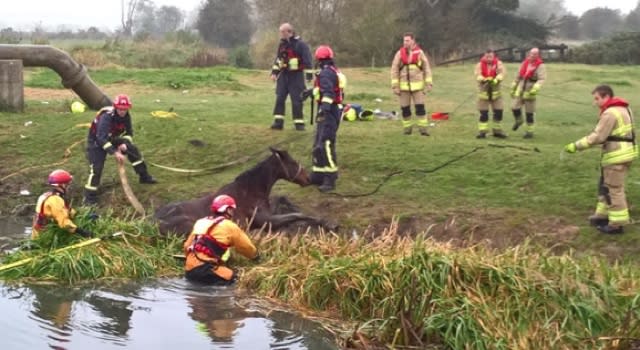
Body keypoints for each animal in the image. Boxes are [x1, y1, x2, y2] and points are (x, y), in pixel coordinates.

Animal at [155, 148, 336, 235]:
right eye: (292, 162)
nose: (308, 179)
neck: (252, 190)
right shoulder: (267, 221)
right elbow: (297, 215)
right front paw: (328, 223)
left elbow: (283, 201)